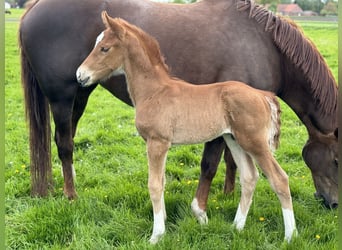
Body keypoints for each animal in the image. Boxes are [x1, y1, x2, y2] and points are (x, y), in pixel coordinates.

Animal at [20, 0, 338, 209]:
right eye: (336, 160)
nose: (332, 203)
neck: (263, 45)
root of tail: (34, 8)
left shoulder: (236, 121)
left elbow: (231, 160)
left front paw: (228, 194)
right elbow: (210, 163)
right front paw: (203, 207)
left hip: (81, 93)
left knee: (66, 140)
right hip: (63, 97)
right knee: (64, 144)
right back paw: (71, 195)